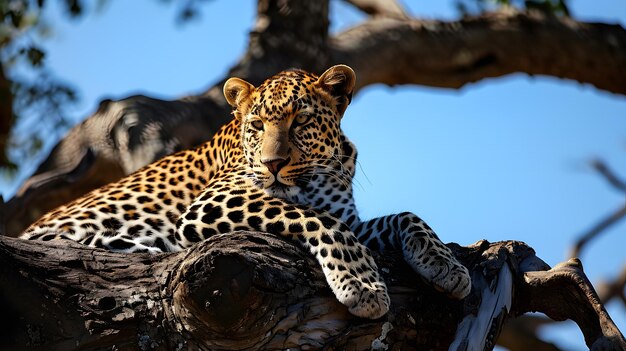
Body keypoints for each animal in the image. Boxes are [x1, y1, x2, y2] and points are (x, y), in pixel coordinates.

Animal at [20, 65, 468, 320]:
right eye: (256, 125)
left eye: (301, 120)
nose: (273, 164)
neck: (319, 174)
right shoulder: (212, 202)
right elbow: (319, 221)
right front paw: (362, 285)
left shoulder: (352, 217)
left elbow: (405, 216)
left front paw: (446, 266)